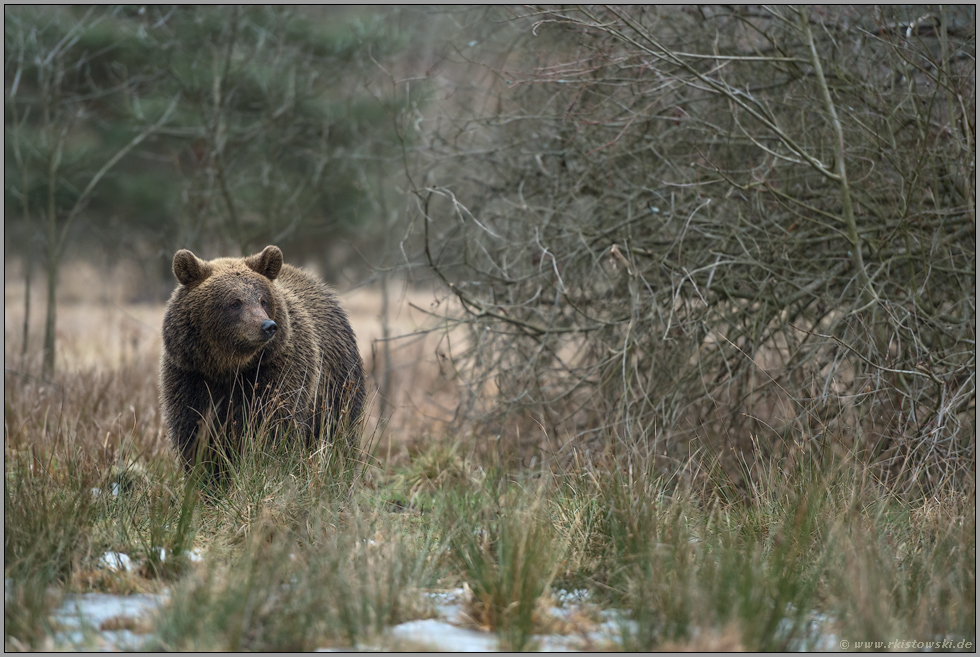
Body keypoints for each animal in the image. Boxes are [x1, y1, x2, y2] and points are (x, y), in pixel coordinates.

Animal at [159, 246, 366, 476]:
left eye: (263, 300)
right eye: (235, 302)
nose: (268, 326)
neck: (228, 367)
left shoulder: (276, 372)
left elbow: (273, 427)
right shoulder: (190, 376)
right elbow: (195, 436)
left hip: (336, 383)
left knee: (339, 432)